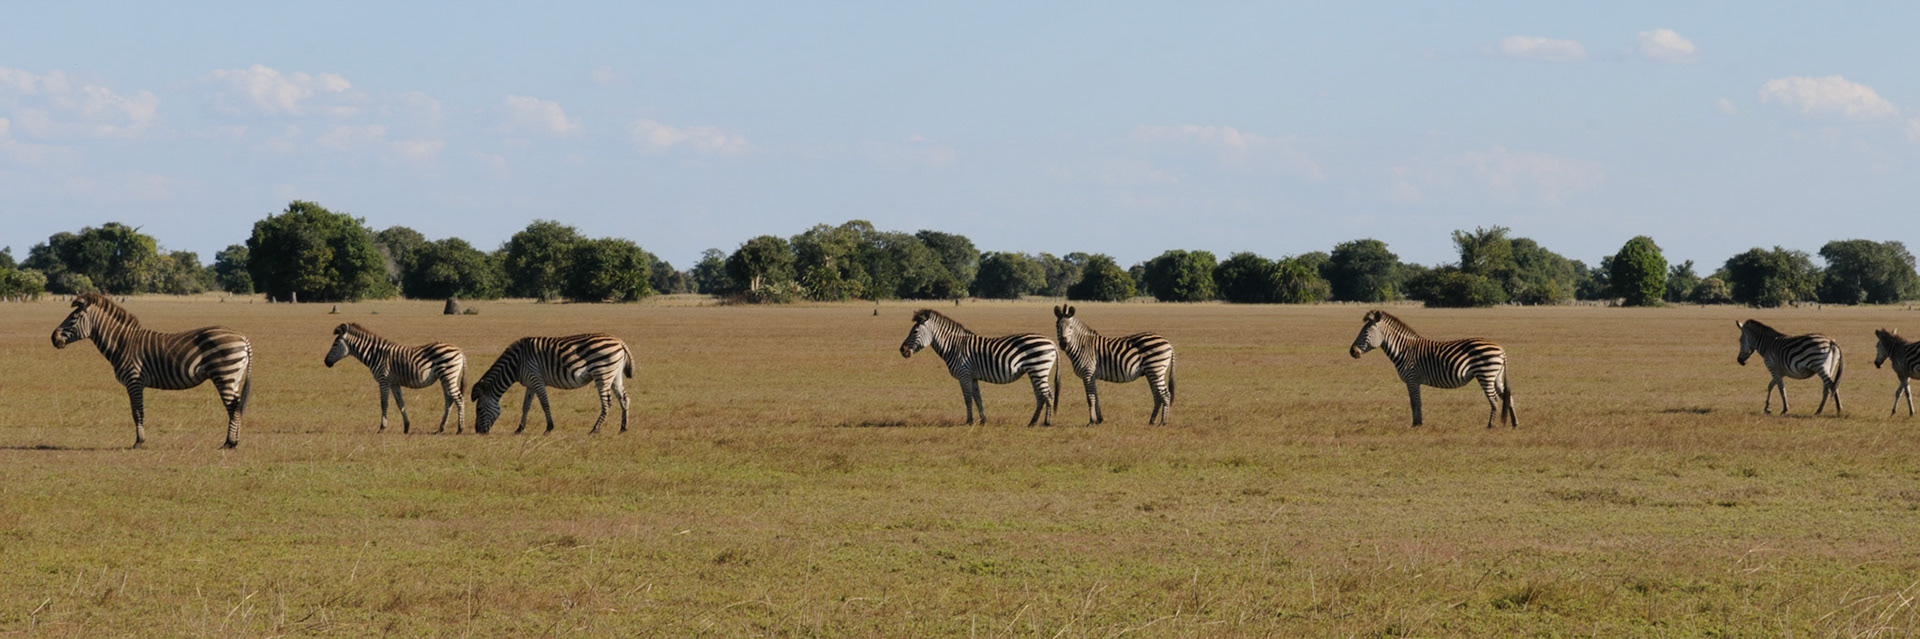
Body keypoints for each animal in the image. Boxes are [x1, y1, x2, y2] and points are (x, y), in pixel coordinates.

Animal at [49, 292, 252, 448]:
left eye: (73, 318)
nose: (53, 338)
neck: (122, 344)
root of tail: (243, 337)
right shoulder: (135, 383)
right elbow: (137, 411)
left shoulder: (134, 381)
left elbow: (137, 412)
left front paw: (139, 442)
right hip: (234, 377)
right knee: (238, 406)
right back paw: (235, 441)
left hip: (225, 374)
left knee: (233, 407)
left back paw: (229, 443)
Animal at [324, 322, 467, 434]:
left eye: (335, 344)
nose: (326, 362)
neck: (376, 355)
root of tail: (460, 351)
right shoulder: (394, 383)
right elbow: (400, 403)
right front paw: (406, 427)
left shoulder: (383, 380)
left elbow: (384, 403)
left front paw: (382, 427)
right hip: (445, 378)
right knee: (449, 399)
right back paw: (441, 428)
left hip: (448, 375)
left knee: (459, 398)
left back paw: (460, 429)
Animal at [471, 333, 633, 434]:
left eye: (478, 409)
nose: (478, 431)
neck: (517, 364)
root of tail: (620, 341)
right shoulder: (530, 383)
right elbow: (526, 406)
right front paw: (519, 428)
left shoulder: (536, 379)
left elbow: (544, 404)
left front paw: (549, 428)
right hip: (615, 375)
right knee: (624, 398)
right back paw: (623, 427)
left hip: (603, 373)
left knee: (607, 403)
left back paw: (595, 429)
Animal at [900, 309, 1057, 426]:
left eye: (915, 331)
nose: (902, 350)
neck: (954, 346)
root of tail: (1052, 342)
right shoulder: (972, 377)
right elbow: (977, 398)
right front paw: (982, 421)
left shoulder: (964, 374)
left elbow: (967, 398)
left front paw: (969, 421)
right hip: (1034, 372)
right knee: (1040, 396)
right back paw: (1032, 422)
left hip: (1038, 370)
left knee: (1048, 395)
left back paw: (1046, 422)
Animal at [1349, 310, 1516, 428]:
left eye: (1365, 333)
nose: (1352, 352)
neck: (1403, 350)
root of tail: (1501, 349)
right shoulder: (1414, 381)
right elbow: (1417, 401)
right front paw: (1418, 423)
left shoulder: (1412, 379)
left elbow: (1414, 402)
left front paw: (1416, 424)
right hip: (1496, 376)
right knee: (1508, 397)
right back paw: (1514, 423)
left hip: (1485, 374)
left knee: (1494, 399)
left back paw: (1490, 425)